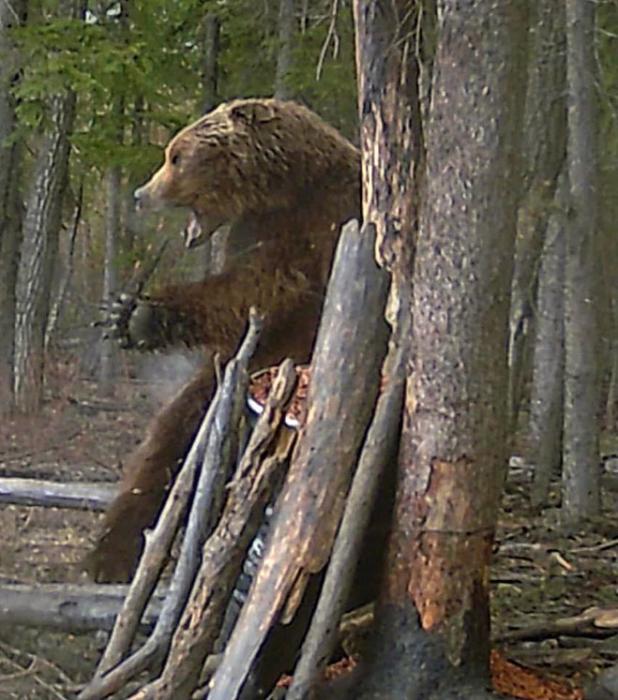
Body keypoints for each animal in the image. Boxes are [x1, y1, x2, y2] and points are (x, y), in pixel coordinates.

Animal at [86, 98, 362, 583]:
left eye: (176, 156)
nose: (140, 193)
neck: (281, 188)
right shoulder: (252, 231)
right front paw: (126, 315)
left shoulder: (320, 226)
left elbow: (257, 287)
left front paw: (140, 314)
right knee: (174, 429)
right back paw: (111, 551)